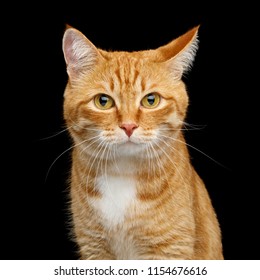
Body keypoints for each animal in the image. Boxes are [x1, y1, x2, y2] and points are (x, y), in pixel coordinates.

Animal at [62, 25, 222, 260]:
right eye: (103, 101)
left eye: (151, 100)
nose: (129, 126)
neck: (123, 174)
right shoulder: (94, 247)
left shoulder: (170, 248)